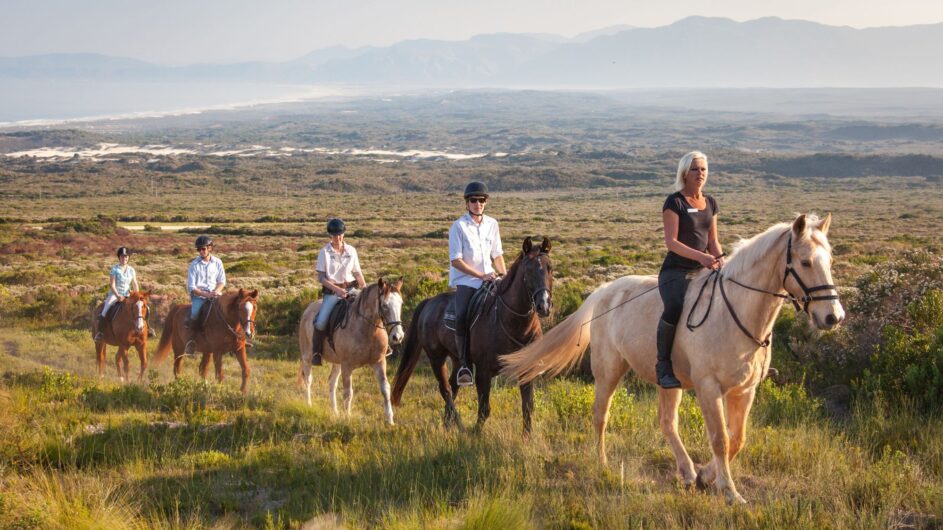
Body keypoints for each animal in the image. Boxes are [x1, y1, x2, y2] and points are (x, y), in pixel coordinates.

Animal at [298, 278, 406, 422]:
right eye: (384, 305)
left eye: (400, 303)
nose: (397, 336)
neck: (366, 330)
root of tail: (308, 310)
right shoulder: (347, 366)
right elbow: (348, 393)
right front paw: (347, 418)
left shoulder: (379, 362)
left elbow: (385, 389)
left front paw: (389, 420)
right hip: (307, 357)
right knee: (308, 380)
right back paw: (309, 405)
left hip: (337, 363)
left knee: (332, 382)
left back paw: (335, 411)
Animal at [390, 237, 552, 432]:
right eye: (528, 270)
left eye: (550, 268)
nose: (544, 305)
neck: (513, 323)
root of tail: (429, 302)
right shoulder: (483, 371)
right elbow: (484, 409)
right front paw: (476, 434)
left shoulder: (526, 369)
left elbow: (527, 407)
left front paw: (527, 437)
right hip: (436, 357)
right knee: (445, 389)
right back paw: (459, 425)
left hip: (458, 359)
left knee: (453, 387)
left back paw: (448, 426)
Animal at [506, 212, 844, 502]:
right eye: (804, 262)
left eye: (829, 260)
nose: (833, 317)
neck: (736, 312)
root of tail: (604, 289)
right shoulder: (709, 388)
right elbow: (720, 439)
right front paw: (730, 492)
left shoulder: (745, 391)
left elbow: (738, 438)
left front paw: (706, 476)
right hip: (608, 371)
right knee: (601, 415)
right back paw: (603, 465)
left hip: (668, 382)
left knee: (667, 422)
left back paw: (687, 472)